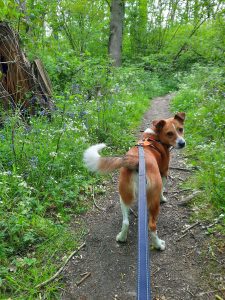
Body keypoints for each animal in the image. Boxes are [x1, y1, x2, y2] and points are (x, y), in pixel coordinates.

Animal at [83, 112, 185, 251]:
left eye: (180, 129)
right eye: (169, 133)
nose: (182, 143)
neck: (154, 137)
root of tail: (136, 161)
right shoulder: (164, 172)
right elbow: (163, 189)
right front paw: (163, 198)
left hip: (124, 196)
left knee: (126, 221)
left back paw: (121, 237)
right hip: (153, 202)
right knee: (152, 226)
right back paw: (159, 245)